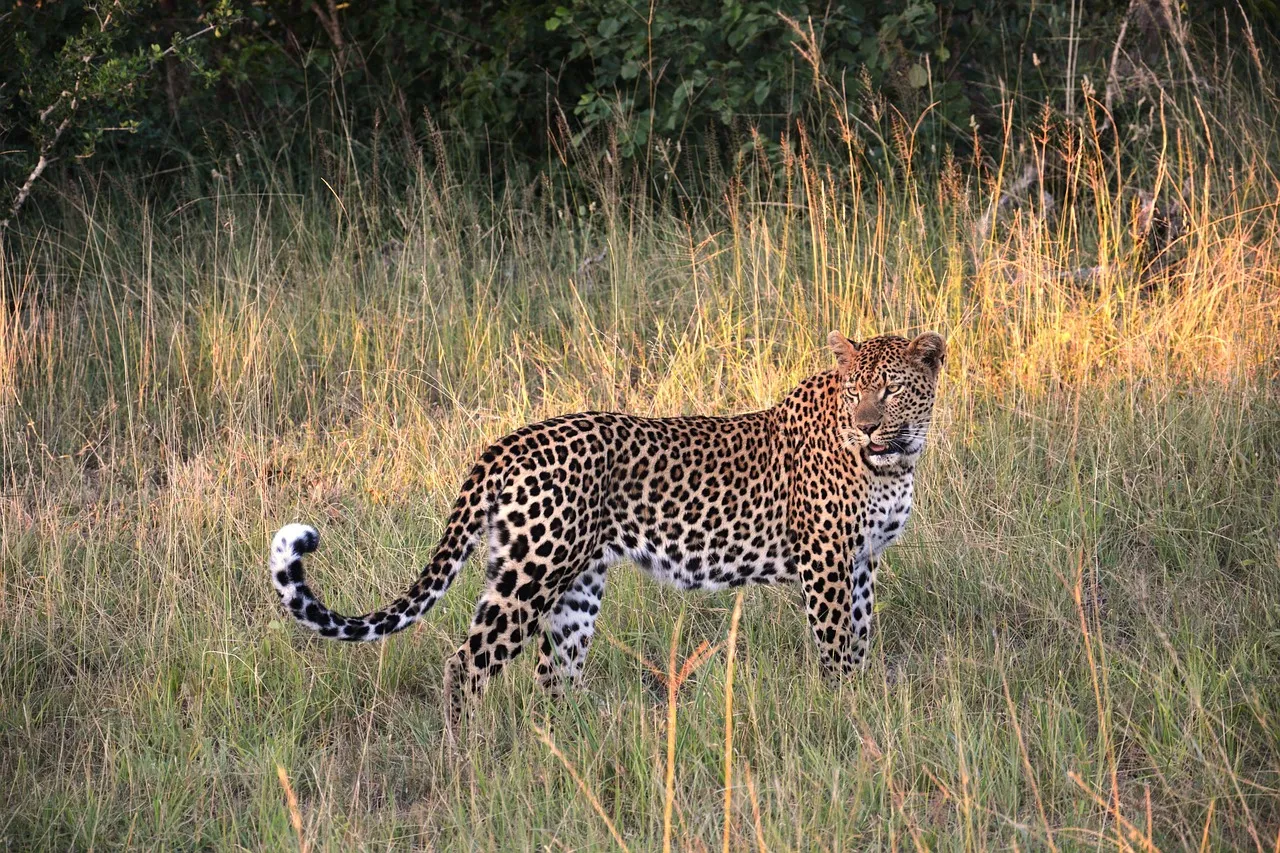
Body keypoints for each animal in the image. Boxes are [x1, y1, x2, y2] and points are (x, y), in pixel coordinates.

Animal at [268, 330, 946, 726]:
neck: (897, 460)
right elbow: (837, 647)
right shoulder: (826, 561)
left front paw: (862, 700)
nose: (865, 426)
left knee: (554, 673)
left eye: (889, 389)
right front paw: (844, 711)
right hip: (531, 574)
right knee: (467, 663)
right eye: (854, 391)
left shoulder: (863, 562)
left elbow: (861, 636)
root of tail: (506, 442)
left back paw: (570, 748)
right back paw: (467, 759)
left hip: (575, 584)